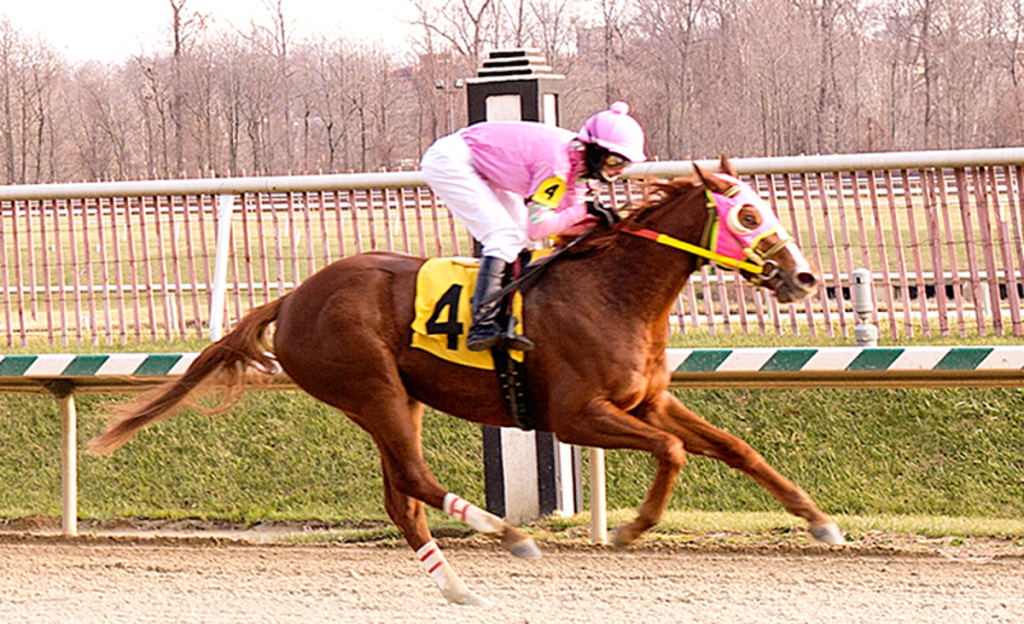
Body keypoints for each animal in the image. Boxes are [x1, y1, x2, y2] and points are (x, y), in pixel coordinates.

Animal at [92, 159, 843, 602]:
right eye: (749, 215)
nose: (804, 278)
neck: (614, 290)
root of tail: (291, 298)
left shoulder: (650, 398)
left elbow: (732, 447)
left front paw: (819, 520)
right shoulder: (574, 415)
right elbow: (675, 451)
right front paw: (633, 528)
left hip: (397, 399)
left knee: (402, 499)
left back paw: (458, 588)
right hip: (371, 388)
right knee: (417, 481)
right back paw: (504, 533)